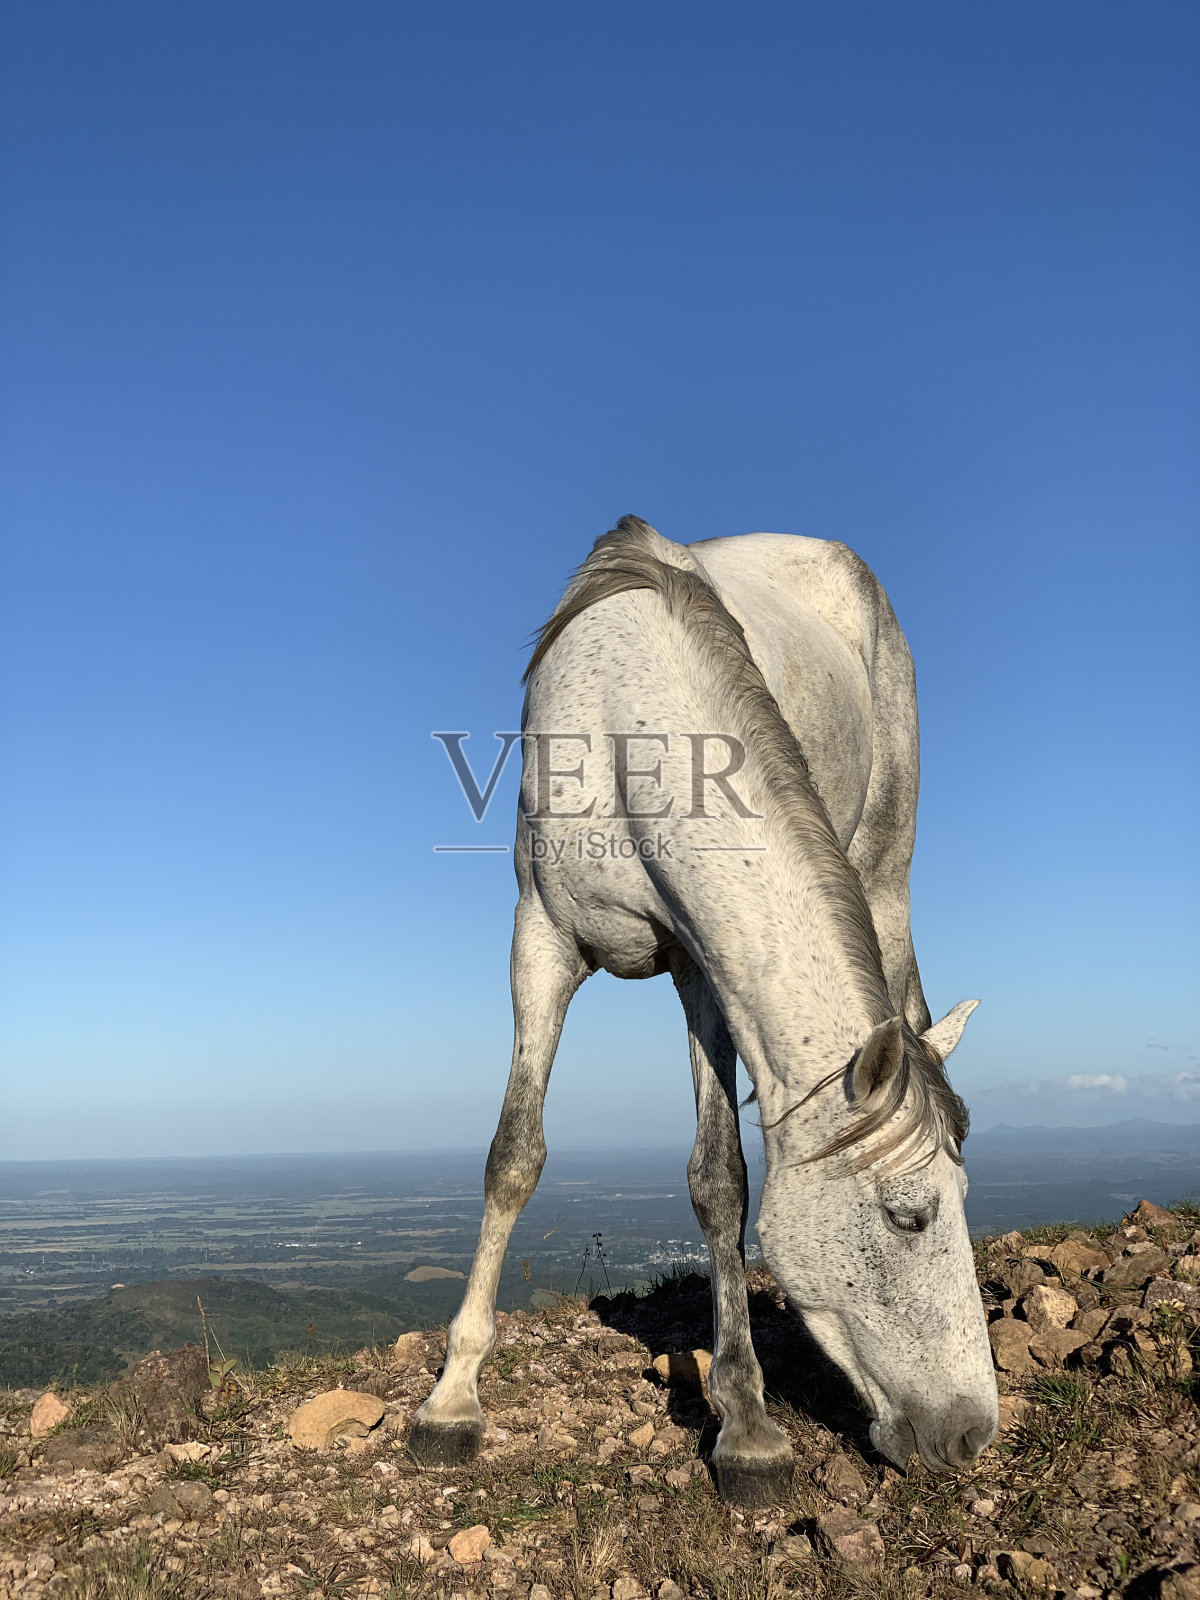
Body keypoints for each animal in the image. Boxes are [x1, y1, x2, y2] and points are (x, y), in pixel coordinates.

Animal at [410, 517, 997, 1505]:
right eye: (909, 1217)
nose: (973, 1433)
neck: (626, 726)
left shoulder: (704, 969)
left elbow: (720, 1179)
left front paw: (747, 1429)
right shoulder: (540, 942)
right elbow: (513, 1156)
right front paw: (452, 1400)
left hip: (885, 867)